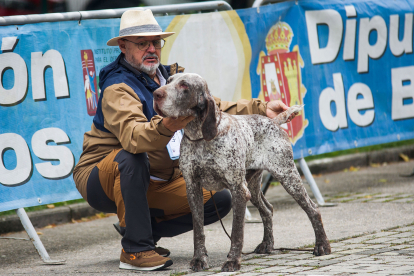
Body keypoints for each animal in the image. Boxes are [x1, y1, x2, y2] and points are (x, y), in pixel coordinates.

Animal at [152, 73, 330, 272]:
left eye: (184, 85)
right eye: (169, 81)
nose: (156, 94)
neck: (200, 137)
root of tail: (272, 121)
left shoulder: (238, 190)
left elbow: (236, 231)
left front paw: (232, 261)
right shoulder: (193, 189)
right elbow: (198, 230)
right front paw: (199, 259)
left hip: (287, 177)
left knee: (313, 209)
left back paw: (322, 245)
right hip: (252, 187)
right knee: (267, 210)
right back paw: (267, 244)